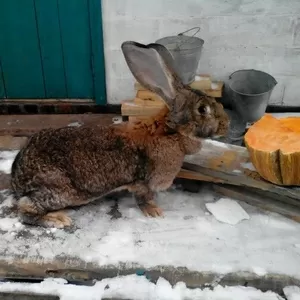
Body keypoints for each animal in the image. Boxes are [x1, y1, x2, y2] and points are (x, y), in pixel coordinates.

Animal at [9, 41, 230, 229]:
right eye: (202, 109)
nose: (226, 125)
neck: (171, 131)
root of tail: (17, 175)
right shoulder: (143, 183)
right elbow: (143, 198)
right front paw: (154, 211)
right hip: (63, 191)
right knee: (25, 209)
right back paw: (58, 219)